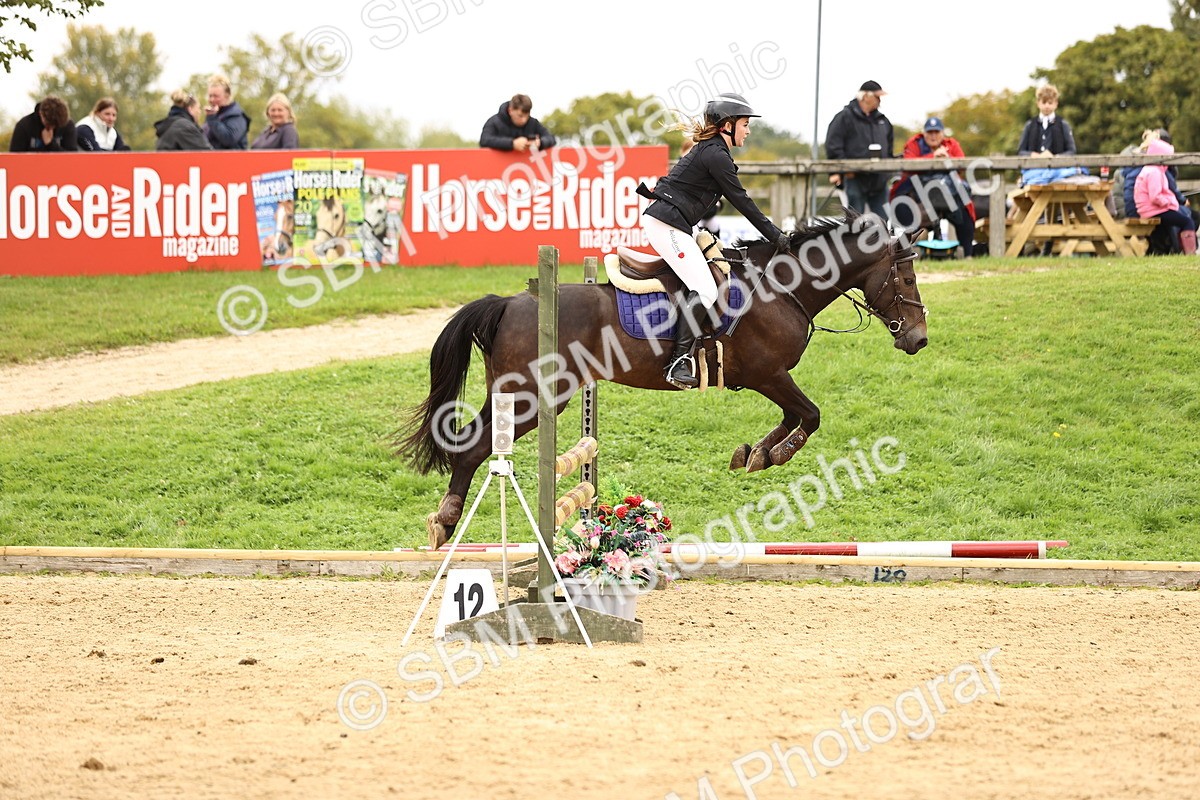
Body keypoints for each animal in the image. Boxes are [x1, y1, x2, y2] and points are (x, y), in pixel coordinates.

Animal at [397, 210, 928, 548]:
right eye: (906, 279)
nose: (919, 339)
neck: (782, 288)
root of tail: (509, 302)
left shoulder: (768, 378)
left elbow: (794, 417)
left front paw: (754, 453)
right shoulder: (769, 373)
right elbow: (810, 415)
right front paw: (771, 455)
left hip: (512, 395)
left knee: (470, 442)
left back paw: (445, 521)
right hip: (534, 397)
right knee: (473, 447)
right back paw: (446, 522)